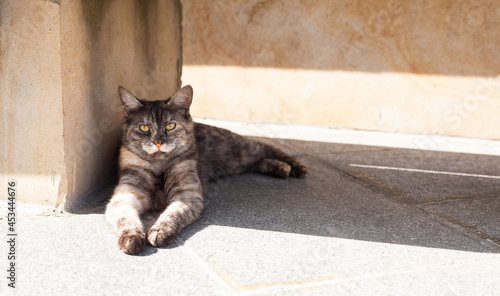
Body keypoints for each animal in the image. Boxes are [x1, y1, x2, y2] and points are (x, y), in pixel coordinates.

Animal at [105, 85, 306, 254]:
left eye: (170, 125)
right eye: (144, 127)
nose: (158, 142)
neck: (159, 165)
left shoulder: (187, 195)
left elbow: (172, 214)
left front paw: (160, 231)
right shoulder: (125, 196)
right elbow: (125, 218)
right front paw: (132, 239)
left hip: (242, 151)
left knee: (268, 148)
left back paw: (295, 167)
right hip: (237, 163)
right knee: (259, 161)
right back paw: (280, 168)